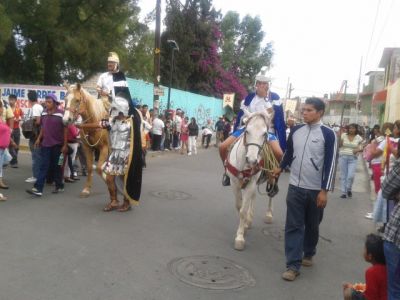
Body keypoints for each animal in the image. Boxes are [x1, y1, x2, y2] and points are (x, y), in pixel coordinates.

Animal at [225, 110, 278, 251]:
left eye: (265, 134)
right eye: (247, 131)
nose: (252, 160)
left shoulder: (251, 183)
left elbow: (243, 210)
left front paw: (240, 237)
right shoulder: (234, 183)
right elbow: (240, 206)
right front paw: (244, 227)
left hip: (272, 175)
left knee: (271, 194)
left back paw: (268, 215)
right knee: (253, 197)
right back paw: (249, 220)